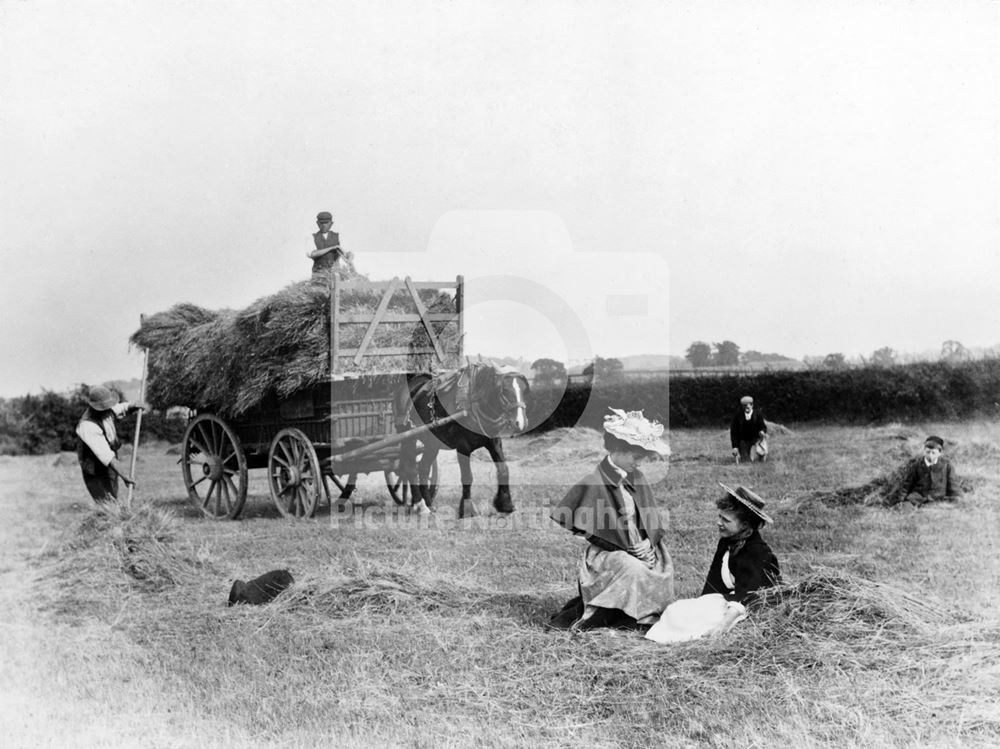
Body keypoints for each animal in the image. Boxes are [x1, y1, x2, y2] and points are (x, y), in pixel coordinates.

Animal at [392, 360, 528, 516]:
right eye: (504, 390)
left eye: (524, 390)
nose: (520, 422)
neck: (473, 403)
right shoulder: (463, 446)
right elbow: (467, 476)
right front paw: (468, 510)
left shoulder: (494, 442)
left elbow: (503, 469)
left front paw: (505, 504)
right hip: (407, 437)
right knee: (410, 469)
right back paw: (420, 505)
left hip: (432, 443)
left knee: (423, 468)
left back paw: (429, 504)